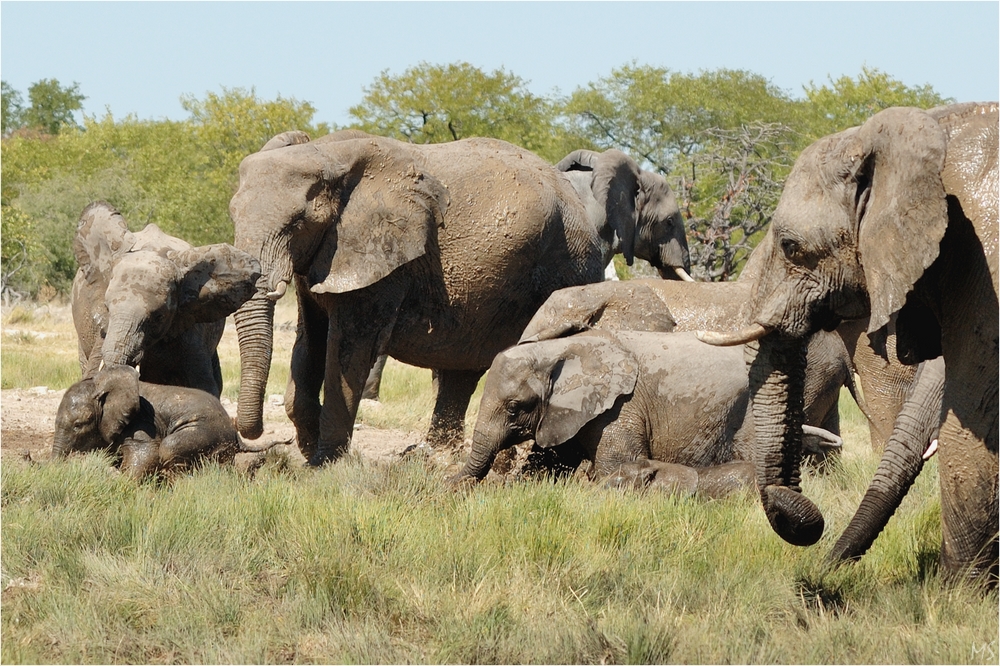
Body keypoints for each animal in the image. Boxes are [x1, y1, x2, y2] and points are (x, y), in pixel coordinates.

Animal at [54, 364, 282, 478]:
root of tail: (235, 434)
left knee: (169, 447)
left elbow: (146, 452)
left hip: (208, 431)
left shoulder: (141, 422)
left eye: (79, 425)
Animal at [231, 128, 616, 462]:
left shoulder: (385, 260)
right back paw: (437, 456)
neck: (326, 153)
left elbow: (349, 349)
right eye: (232, 216)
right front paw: (310, 454)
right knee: (462, 369)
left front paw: (325, 464)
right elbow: (310, 337)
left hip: (568, 266)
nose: (257, 434)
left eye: (298, 222)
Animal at [448, 330, 844, 496]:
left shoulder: (619, 409)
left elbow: (618, 464)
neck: (560, 348)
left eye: (515, 408)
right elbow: (550, 462)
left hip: (750, 415)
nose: (448, 486)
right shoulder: (568, 413)